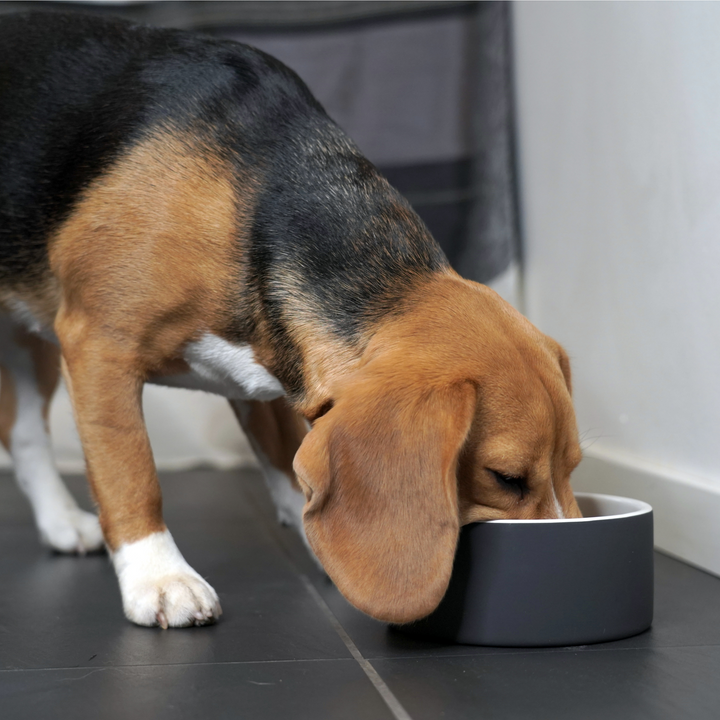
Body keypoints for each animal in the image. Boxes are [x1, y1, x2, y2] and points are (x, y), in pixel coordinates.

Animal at [0, 14, 584, 628]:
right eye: (505, 479)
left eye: (573, 466)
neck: (256, 199)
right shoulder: (100, 347)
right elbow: (131, 470)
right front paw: (159, 577)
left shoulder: (265, 376)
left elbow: (288, 462)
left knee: (22, 433)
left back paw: (62, 524)